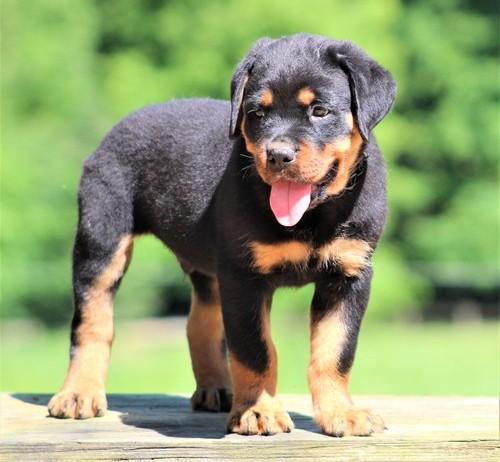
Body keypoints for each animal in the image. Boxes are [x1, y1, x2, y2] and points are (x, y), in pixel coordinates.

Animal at [48, 33, 396, 436]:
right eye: (257, 113)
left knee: (200, 324)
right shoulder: (243, 275)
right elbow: (255, 349)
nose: (278, 155)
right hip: (101, 241)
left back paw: (216, 389)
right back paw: (79, 393)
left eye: (320, 111)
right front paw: (259, 411)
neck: (313, 215)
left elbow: (335, 351)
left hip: (210, 270)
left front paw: (342, 413)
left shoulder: (348, 275)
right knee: (92, 321)